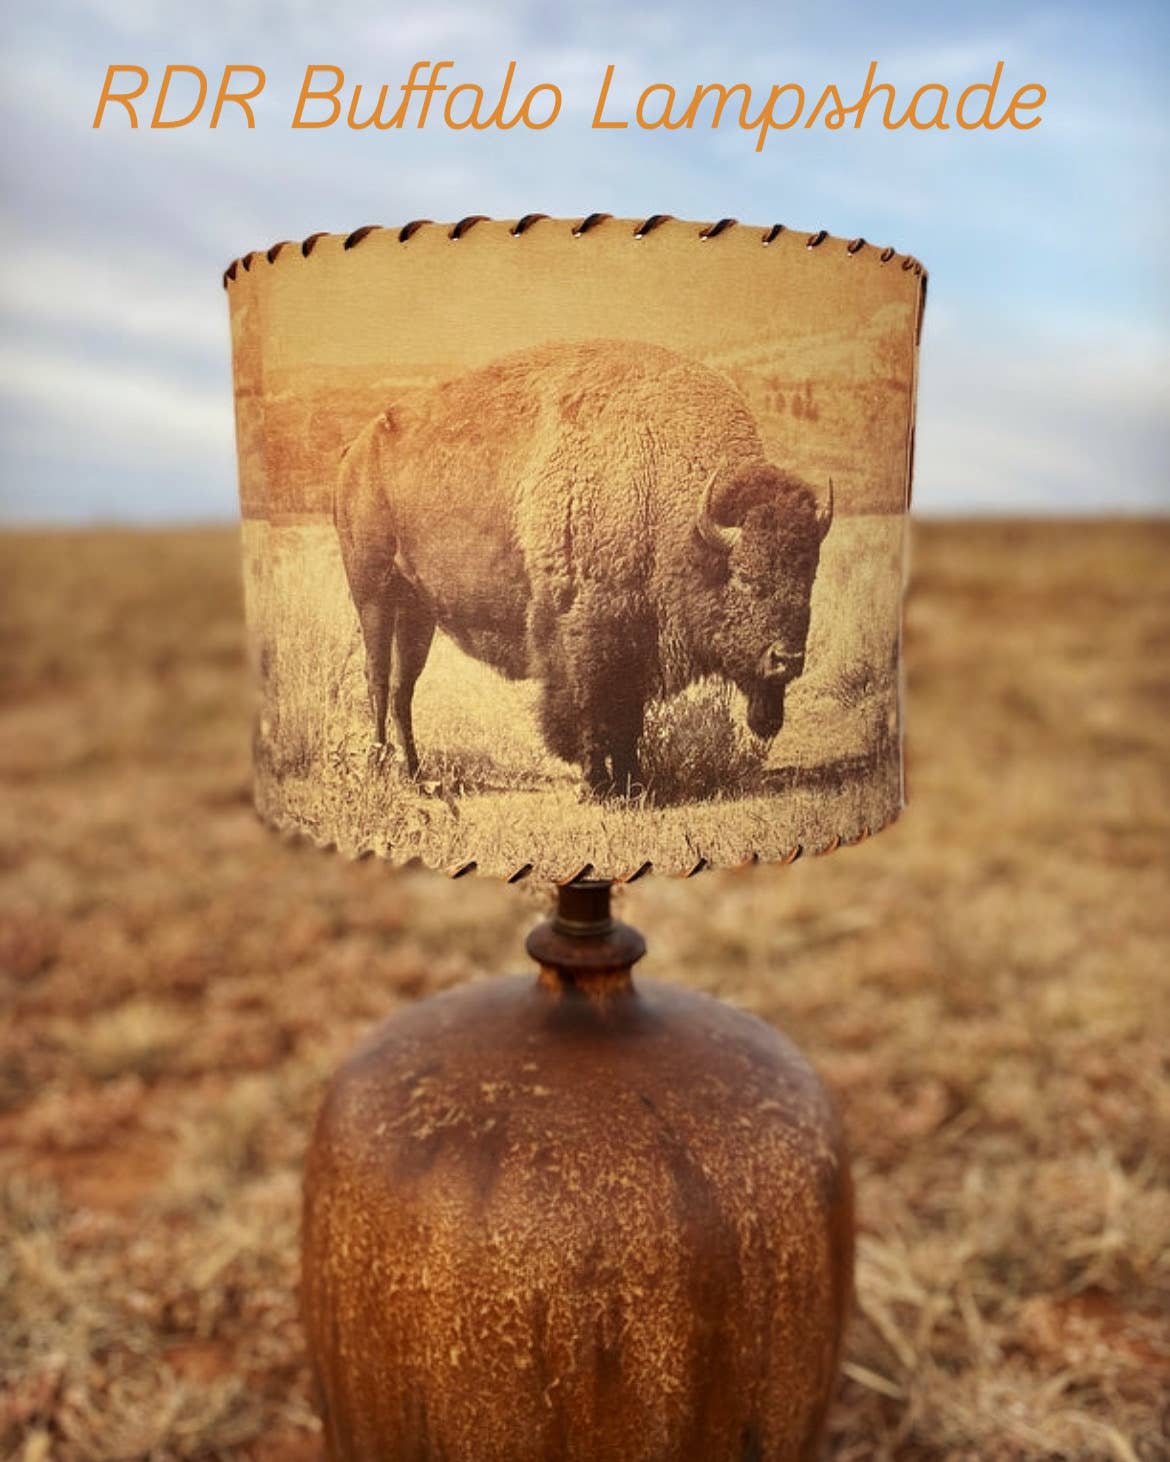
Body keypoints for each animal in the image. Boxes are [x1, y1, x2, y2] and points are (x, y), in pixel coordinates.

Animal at [334, 340, 832, 797]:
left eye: (809, 577)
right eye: (745, 578)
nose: (787, 659)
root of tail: (356, 450)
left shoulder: (637, 643)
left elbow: (629, 719)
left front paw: (633, 783)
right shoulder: (586, 634)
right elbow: (589, 710)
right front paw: (598, 785)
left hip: (417, 609)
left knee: (404, 687)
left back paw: (416, 775)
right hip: (373, 591)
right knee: (379, 679)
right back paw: (380, 766)